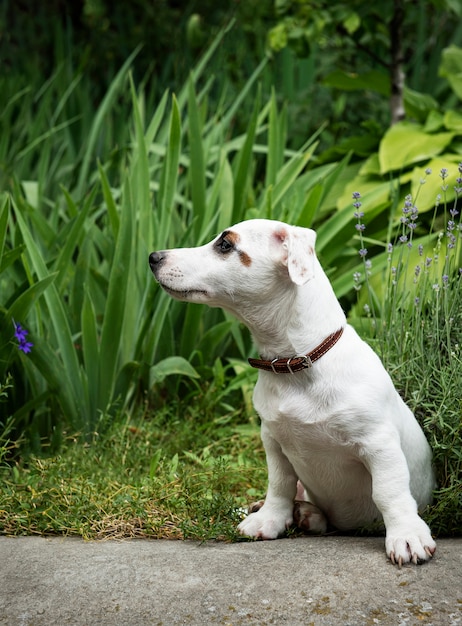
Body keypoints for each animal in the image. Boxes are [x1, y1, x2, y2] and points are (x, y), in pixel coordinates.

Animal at [149, 217, 436, 564]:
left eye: (225, 245)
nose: (153, 257)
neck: (296, 365)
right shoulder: (274, 442)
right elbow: (280, 485)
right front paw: (270, 518)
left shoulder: (379, 445)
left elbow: (388, 491)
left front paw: (406, 534)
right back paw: (298, 512)